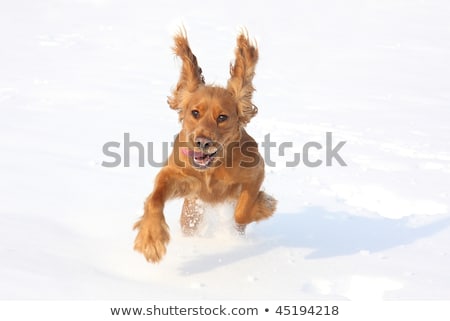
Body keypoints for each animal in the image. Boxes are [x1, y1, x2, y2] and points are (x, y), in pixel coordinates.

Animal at [132, 28, 276, 262]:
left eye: (222, 117)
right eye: (195, 113)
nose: (202, 142)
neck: (212, 168)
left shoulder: (256, 172)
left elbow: (241, 212)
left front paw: (264, 206)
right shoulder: (176, 175)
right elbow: (154, 199)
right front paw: (151, 239)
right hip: (190, 215)